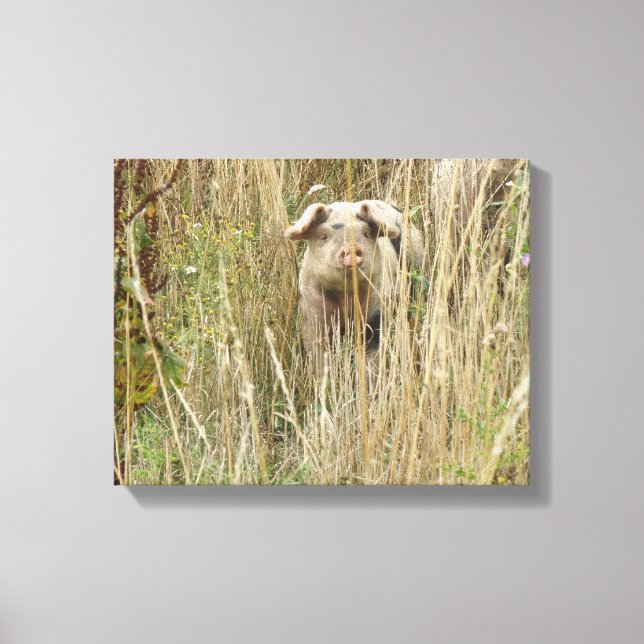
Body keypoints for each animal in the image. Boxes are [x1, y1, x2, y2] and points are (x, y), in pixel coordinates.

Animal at [284, 200, 423, 358]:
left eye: (366, 234)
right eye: (324, 236)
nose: (351, 247)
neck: (346, 296)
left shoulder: (378, 309)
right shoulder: (311, 314)